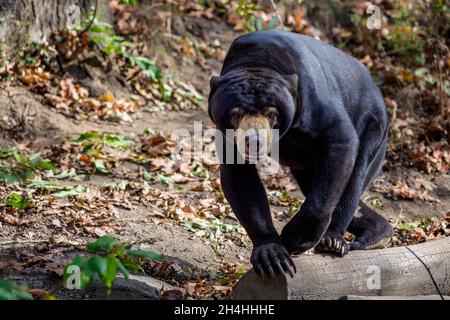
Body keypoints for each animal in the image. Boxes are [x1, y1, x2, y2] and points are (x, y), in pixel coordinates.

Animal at [209, 30, 392, 280]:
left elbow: (341, 141)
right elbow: (241, 180)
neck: (258, 61)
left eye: (272, 114)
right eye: (236, 114)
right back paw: (377, 231)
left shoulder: (314, 101)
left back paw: (334, 241)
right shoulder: (227, 136)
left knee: (355, 178)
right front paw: (273, 258)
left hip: (374, 128)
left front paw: (293, 239)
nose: (254, 141)